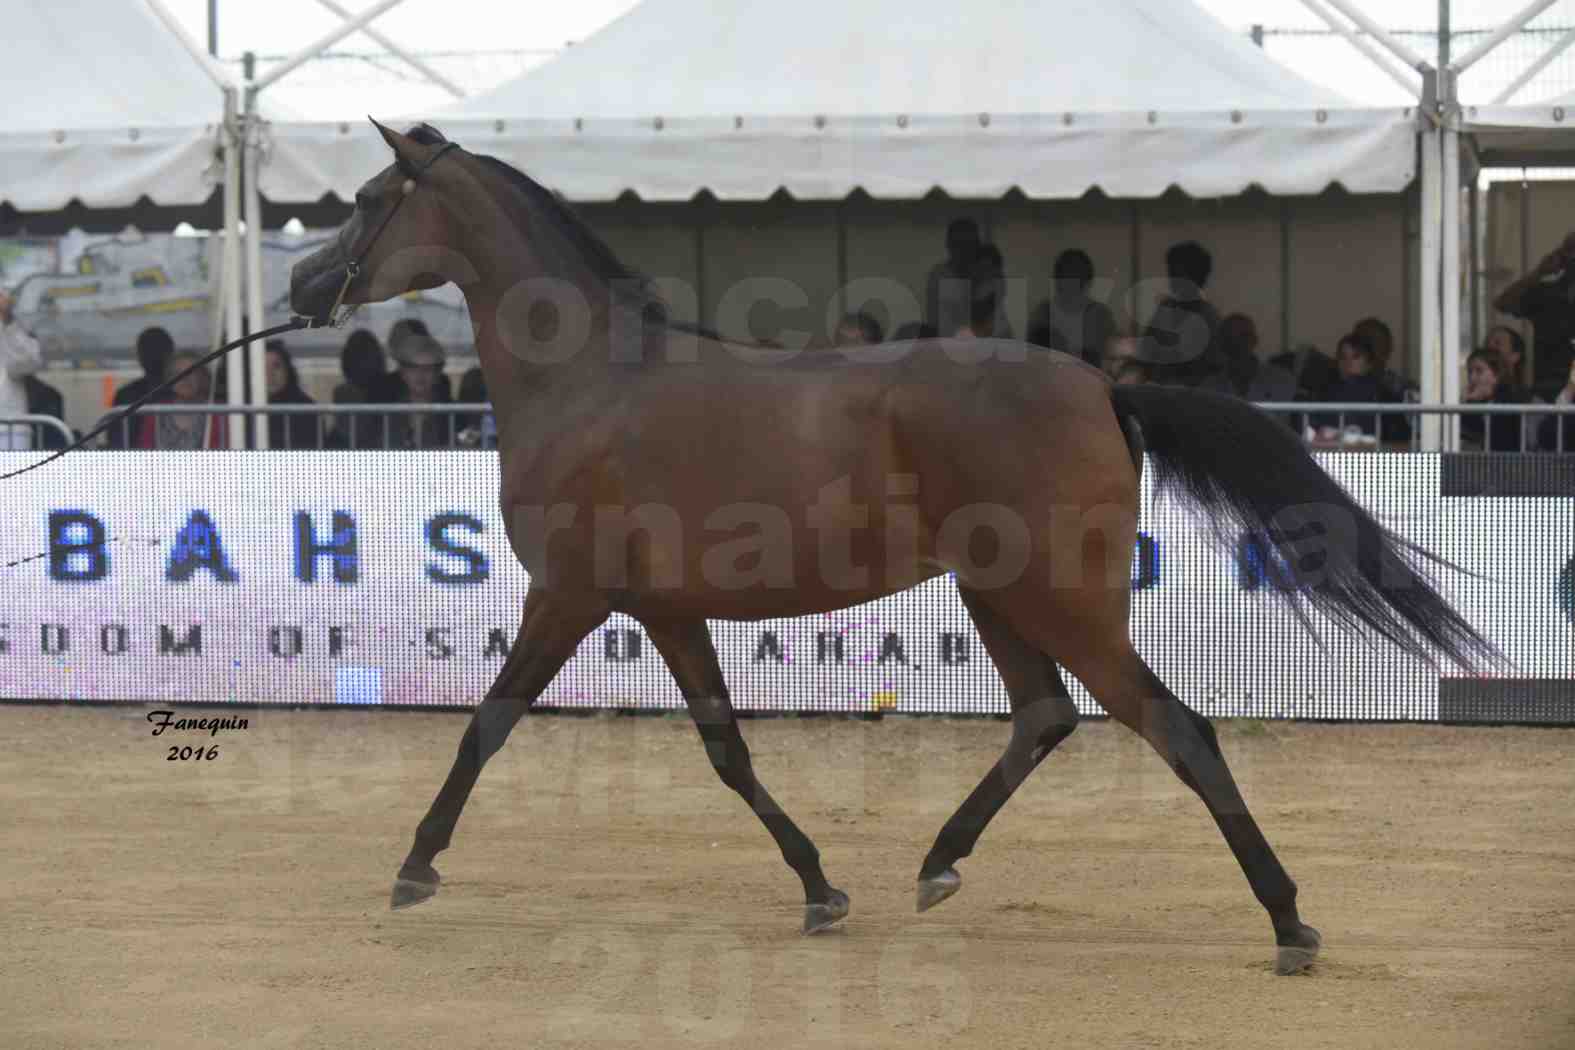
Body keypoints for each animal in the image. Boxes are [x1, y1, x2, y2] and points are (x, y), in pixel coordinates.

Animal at [289, 123, 1493, 976]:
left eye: (367, 201)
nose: (302, 289)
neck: (591, 380)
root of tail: (1102, 384)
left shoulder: (570, 594)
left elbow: (485, 726)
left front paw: (414, 867)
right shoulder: (665, 609)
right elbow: (727, 752)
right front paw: (820, 888)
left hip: (1055, 598)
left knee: (1174, 728)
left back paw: (1288, 924)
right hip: (996, 591)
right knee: (1045, 716)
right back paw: (936, 865)